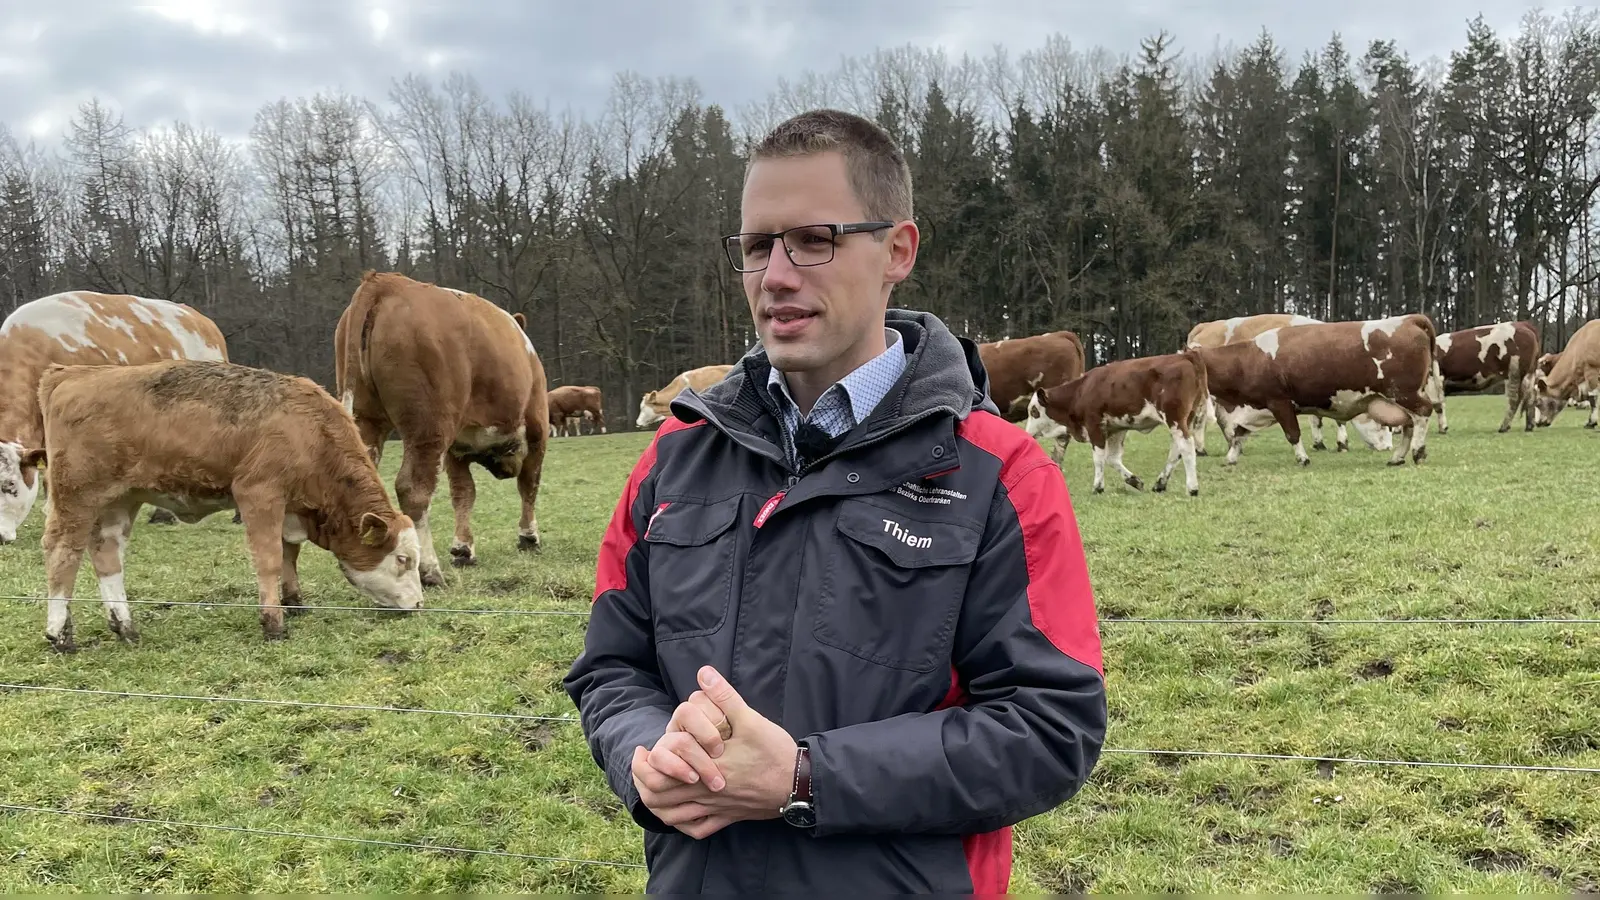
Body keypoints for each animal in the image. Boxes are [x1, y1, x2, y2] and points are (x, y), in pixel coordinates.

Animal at [29, 358, 425, 650]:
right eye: (402, 559)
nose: (421, 605)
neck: (311, 432)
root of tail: (71, 373)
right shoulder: (259, 493)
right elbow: (269, 560)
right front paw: (273, 623)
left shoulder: (289, 508)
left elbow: (288, 554)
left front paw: (295, 602)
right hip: (77, 496)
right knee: (62, 551)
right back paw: (60, 634)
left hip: (120, 500)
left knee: (106, 553)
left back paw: (125, 626)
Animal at [331, 269, 550, 586]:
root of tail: (386, 281)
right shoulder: (537, 429)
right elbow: (529, 484)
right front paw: (529, 537)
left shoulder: (455, 450)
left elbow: (463, 493)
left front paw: (463, 548)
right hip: (428, 427)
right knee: (413, 490)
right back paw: (429, 570)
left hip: (367, 419)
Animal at [1024, 347, 1209, 493]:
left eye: (1034, 411)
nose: (1027, 434)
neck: (1081, 390)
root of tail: (1187, 356)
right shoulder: (1117, 428)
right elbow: (1112, 458)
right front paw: (1134, 481)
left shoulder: (1094, 425)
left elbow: (1099, 457)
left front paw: (1098, 487)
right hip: (1186, 419)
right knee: (1176, 450)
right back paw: (1160, 484)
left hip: (1175, 418)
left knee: (1186, 446)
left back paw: (1192, 488)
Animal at [1190, 313, 1440, 464]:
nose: (1385, 447)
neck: (1250, 358)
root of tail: (1409, 319)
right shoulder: (1258, 406)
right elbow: (1240, 431)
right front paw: (1231, 457)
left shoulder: (1279, 401)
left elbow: (1293, 433)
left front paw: (1303, 458)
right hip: (1399, 398)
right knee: (1410, 423)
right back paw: (1398, 456)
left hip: (1404, 394)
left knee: (1423, 414)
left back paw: (1417, 452)